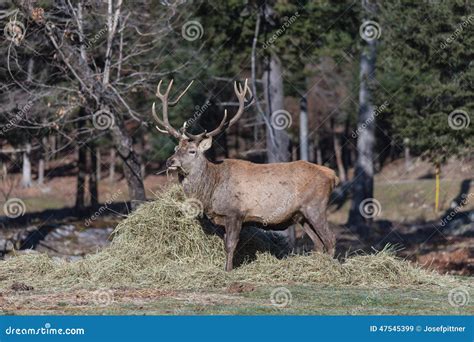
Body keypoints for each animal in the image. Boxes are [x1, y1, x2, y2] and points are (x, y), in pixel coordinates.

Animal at [150, 79, 338, 272]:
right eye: (175, 148)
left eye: (192, 151)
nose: (169, 161)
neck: (211, 190)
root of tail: (332, 175)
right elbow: (225, 244)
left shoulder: (235, 213)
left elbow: (230, 245)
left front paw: (228, 270)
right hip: (301, 215)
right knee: (318, 243)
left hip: (315, 206)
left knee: (330, 239)